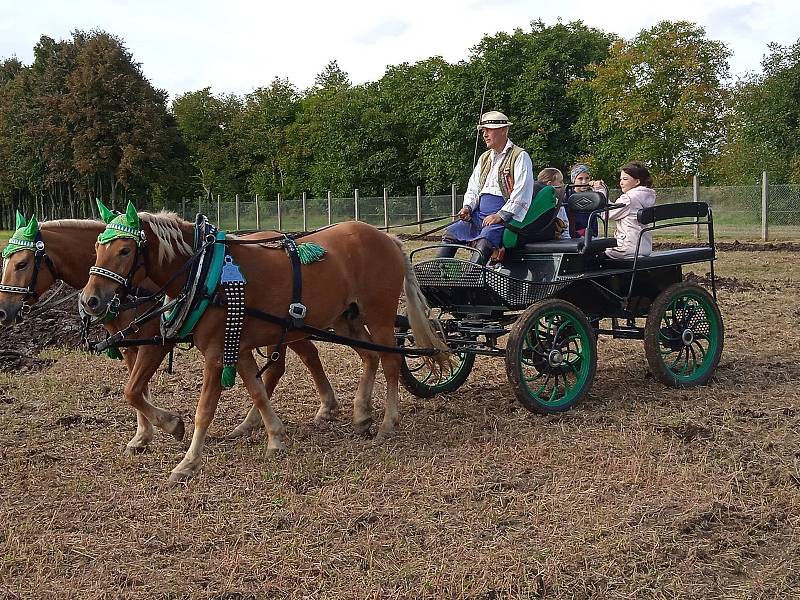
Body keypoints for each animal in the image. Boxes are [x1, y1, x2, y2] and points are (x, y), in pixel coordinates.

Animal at [0, 218, 340, 452]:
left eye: (22, 263)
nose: (3, 310)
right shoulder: (131, 344)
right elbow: (137, 390)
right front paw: (143, 435)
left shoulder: (156, 342)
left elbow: (133, 390)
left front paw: (171, 424)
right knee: (292, 361)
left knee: (296, 359)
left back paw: (317, 408)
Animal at [82, 213, 454, 486]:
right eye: (97, 249)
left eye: (125, 251)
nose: (90, 300)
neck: (206, 272)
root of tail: (387, 238)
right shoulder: (240, 347)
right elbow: (258, 391)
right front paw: (274, 437)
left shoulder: (216, 353)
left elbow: (205, 409)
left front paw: (186, 461)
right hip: (346, 319)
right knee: (370, 356)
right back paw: (361, 414)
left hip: (379, 315)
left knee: (391, 362)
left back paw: (388, 423)